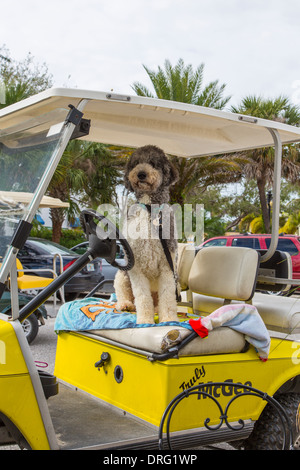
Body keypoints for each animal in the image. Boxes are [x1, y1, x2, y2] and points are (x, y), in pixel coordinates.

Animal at [113, 145, 179, 324]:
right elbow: (142, 297)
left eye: (153, 163)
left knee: (158, 301)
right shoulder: (135, 266)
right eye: (136, 163)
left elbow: (168, 297)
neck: (149, 208)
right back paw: (125, 305)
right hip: (122, 274)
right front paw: (144, 321)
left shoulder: (167, 265)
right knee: (124, 294)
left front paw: (168, 319)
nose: (141, 174)